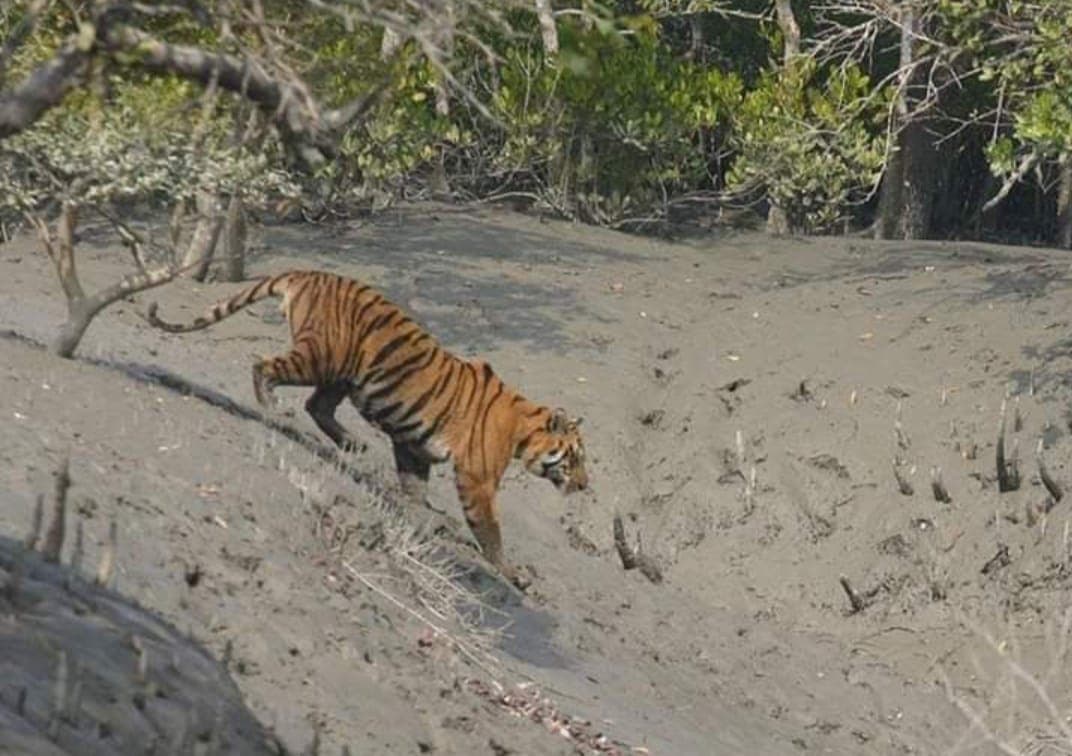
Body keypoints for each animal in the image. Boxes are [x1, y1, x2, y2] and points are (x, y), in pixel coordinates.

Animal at [145, 270, 588, 587]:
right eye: (576, 457)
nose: (584, 486)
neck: (522, 431)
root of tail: (309, 273)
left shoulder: (414, 446)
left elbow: (414, 488)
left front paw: (421, 516)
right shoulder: (476, 479)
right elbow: (490, 531)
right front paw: (512, 575)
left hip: (342, 373)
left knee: (316, 405)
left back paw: (352, 444)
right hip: (320, 356)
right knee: (265, 366)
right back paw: (274, 409)